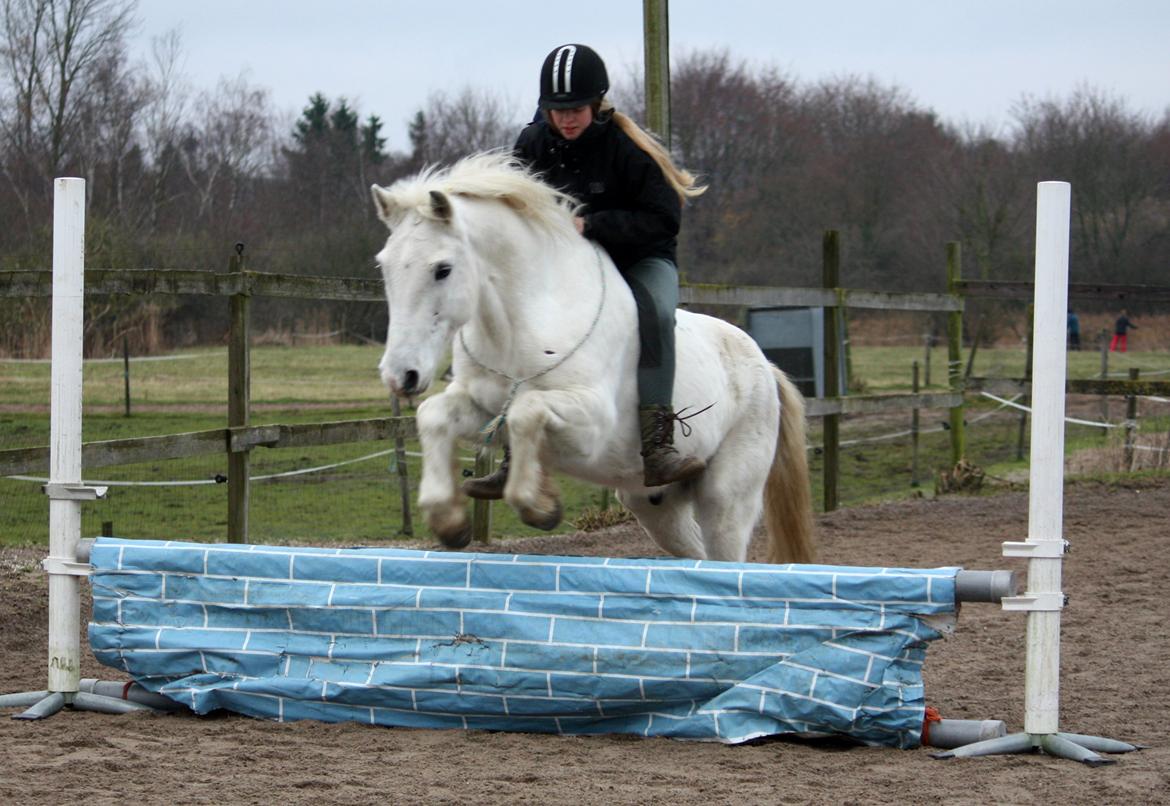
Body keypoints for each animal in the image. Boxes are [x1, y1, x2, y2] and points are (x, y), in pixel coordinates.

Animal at [374, 154, 814, 563]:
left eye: (442, 269)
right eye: (385, 266)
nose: (401, 375)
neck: (522, 319)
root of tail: (765, 368)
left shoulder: (590, 424)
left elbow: (525, 412)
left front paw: (539, 506)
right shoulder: (483, 408)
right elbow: (433, 415)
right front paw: (447, 520)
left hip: (725, 501)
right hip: (655, 506)